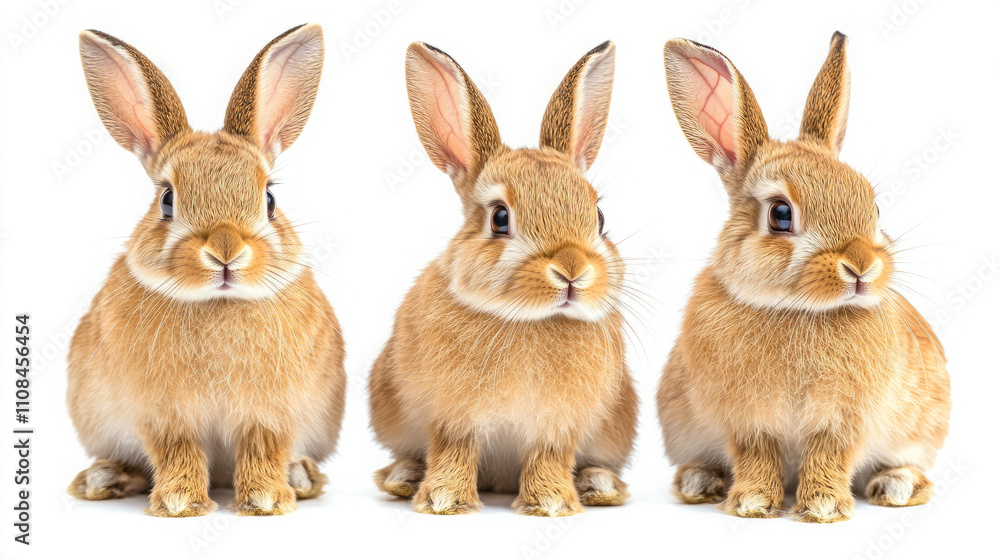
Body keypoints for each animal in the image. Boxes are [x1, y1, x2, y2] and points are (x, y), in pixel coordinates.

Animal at [66, 24, 346, 517]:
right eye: (167, 200)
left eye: (270, 199)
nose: (225, 250)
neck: (219, 302)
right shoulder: (164, 417)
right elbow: (177, 451)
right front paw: (180, 503)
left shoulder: (271, 414)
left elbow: (263, 448)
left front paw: (265, 500)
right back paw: (104, 478)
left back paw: (301, 477)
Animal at [368, 41, 638, 517]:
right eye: (499, 218)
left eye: (600, 217)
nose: (573, 270)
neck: (528, 318)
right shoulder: (452, 418)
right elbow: (453, 450)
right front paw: (444, 500)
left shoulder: (558, 425)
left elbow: (549, 456)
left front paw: (550, 502)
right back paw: (404, 477)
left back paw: (599, 485)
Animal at [655, 32, 952, 523]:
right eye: (780, 215)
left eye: (874, 207)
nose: (861, 266)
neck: (800, 310)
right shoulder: (748, 422)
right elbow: (757, 455)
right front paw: (754, 503)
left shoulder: (842, 421)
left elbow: (829, 453)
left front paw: (822, 507)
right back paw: (700, 481)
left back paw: (898, 485)